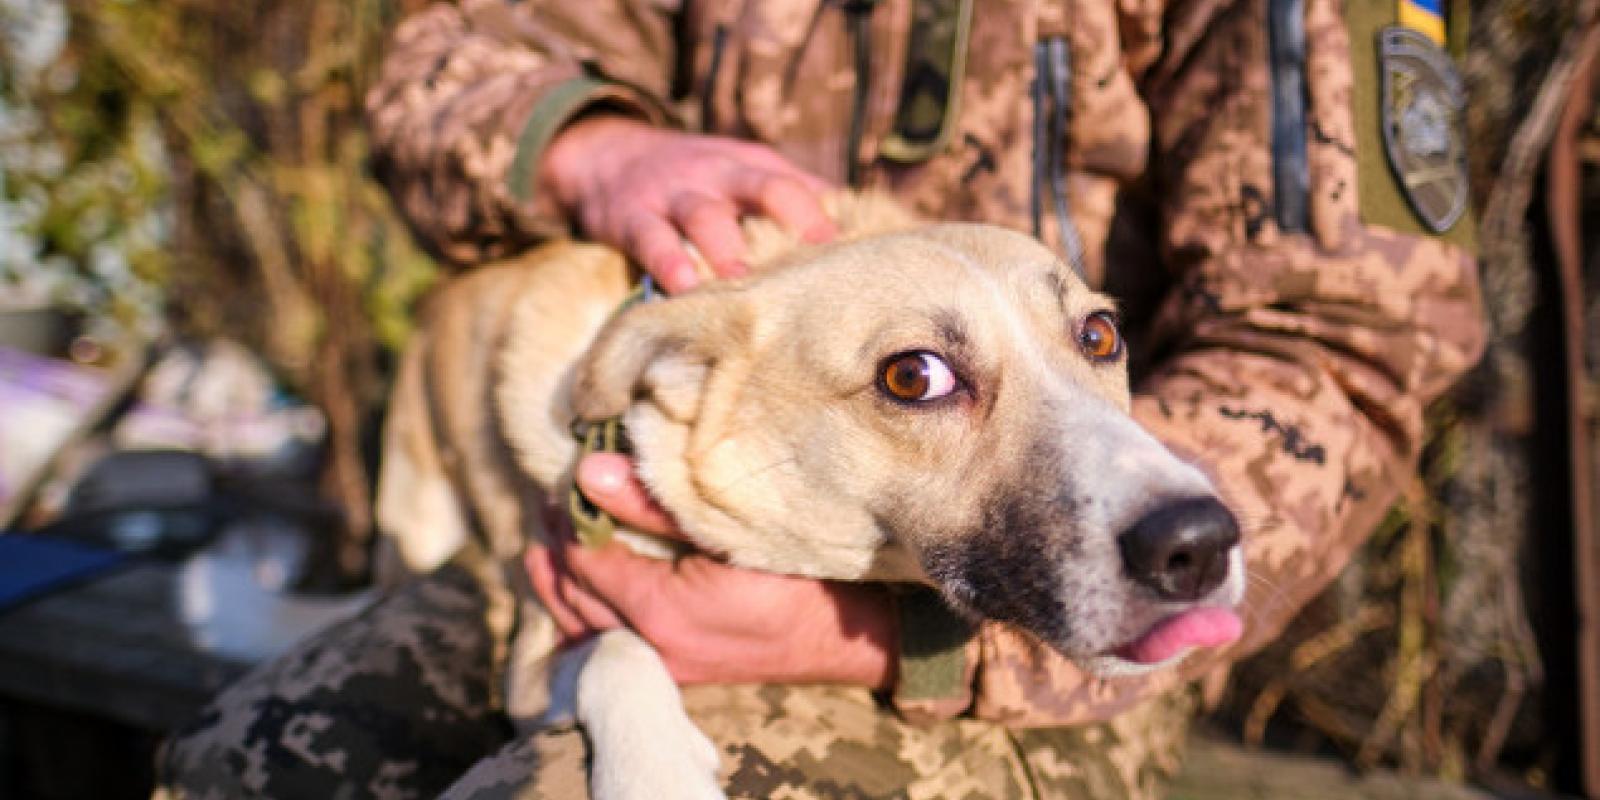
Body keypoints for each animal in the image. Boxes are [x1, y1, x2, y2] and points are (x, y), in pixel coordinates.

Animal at [377, 193, 1248, 800]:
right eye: (914, 376)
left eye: (1100, 334)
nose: (1201, 543)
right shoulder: (537, 645)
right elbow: (617, 645)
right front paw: (656, 771)